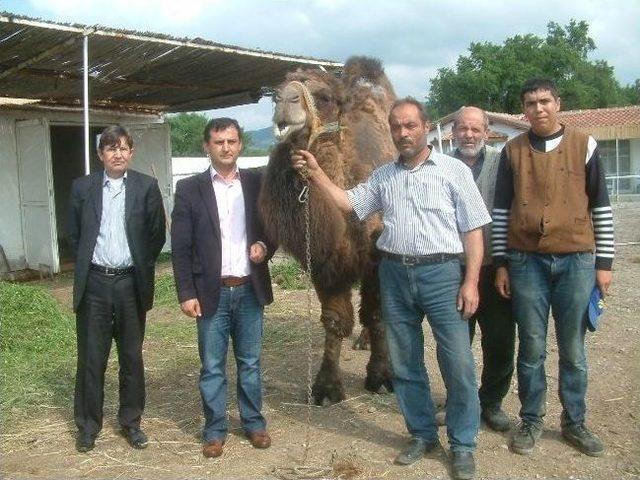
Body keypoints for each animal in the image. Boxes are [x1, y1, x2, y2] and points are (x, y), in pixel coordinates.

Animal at [258, 56, 398, 404]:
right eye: (275, 92)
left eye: (324, 97)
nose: (285, 101)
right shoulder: (325, 259)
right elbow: (334, 321)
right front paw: (325, 388)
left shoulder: (377, 255)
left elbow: (378, 314)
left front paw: (381, 376)